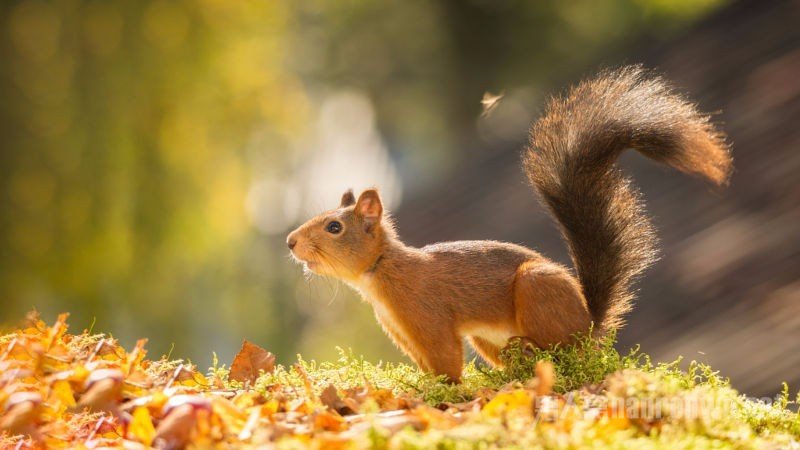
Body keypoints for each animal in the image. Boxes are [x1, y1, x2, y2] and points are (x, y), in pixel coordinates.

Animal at [286, 67, 732, 384]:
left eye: (334, 227)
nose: (290, 242)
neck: (379, 272)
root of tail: (589, 327)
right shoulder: (400, 331)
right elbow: (425, 364)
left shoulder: (427, 314)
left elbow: (445, 358)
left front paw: (443, 391)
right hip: (488, 338)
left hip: (537, 289)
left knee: (559, 352)